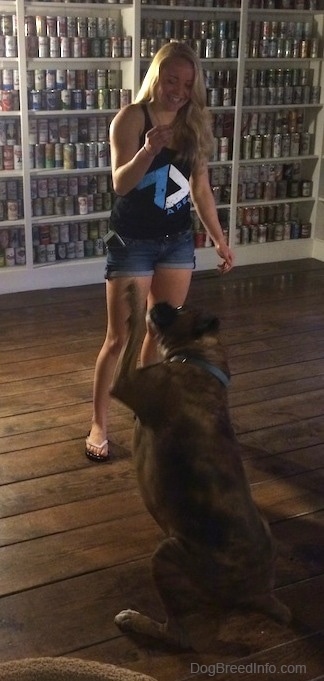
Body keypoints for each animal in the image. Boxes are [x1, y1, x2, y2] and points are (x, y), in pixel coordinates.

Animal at [111, 282, 292, 648]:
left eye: (180, 309)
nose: (162, 303)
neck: (199, 359)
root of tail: (259, 594)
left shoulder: (126, 381)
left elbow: (134, 331)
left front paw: (133, 296)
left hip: (168, 554)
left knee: (177, 634)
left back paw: (135, 620)